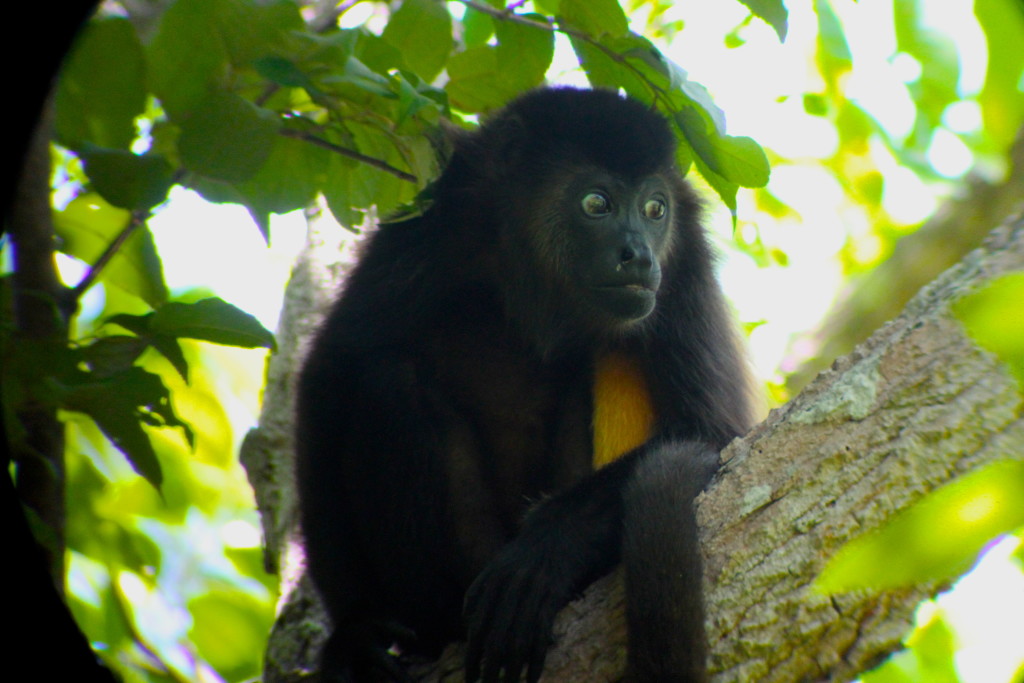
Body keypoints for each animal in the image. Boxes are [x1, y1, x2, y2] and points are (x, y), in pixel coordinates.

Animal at [294, 86, 757, 683]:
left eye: (656, 210)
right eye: (596, 203)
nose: (639, 255)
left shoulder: (684, 264)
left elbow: (710, 430)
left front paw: (546, 549)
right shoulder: (438, 218)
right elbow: (332, 372)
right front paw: (353, 630)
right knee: (385, 381)